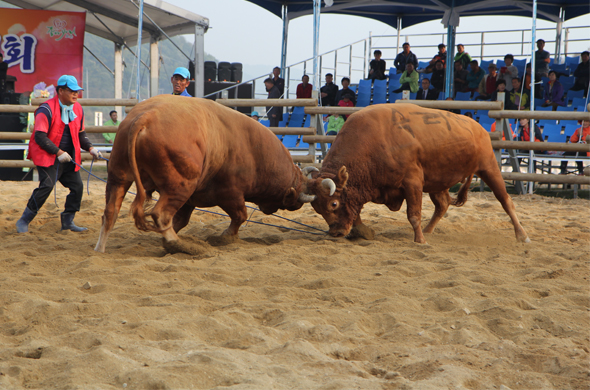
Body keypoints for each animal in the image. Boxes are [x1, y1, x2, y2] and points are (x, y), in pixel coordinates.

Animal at [93, 96, 314, 254]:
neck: (253, 149)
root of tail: (145, 116)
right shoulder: (231, 193)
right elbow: (240, 216)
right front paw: (225, 237)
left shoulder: (190, 201)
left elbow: (181, 220)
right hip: (180, 186)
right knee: (160, 214)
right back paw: (180, 245)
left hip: (119, 178)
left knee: (110, 212)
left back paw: (100, 248)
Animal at [306, 103, 532, 244]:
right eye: (317, 208)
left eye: (333, 204)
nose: (335, 232)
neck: (373, 142)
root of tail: (479, 129)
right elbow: (356, 211)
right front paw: (362, 231)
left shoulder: (413, 182)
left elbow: (413, 215)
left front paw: (419, 240)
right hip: (438, 183)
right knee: (442, 206)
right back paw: (429, 230)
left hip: (489, 168)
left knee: (506, 201)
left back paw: (522, 235)